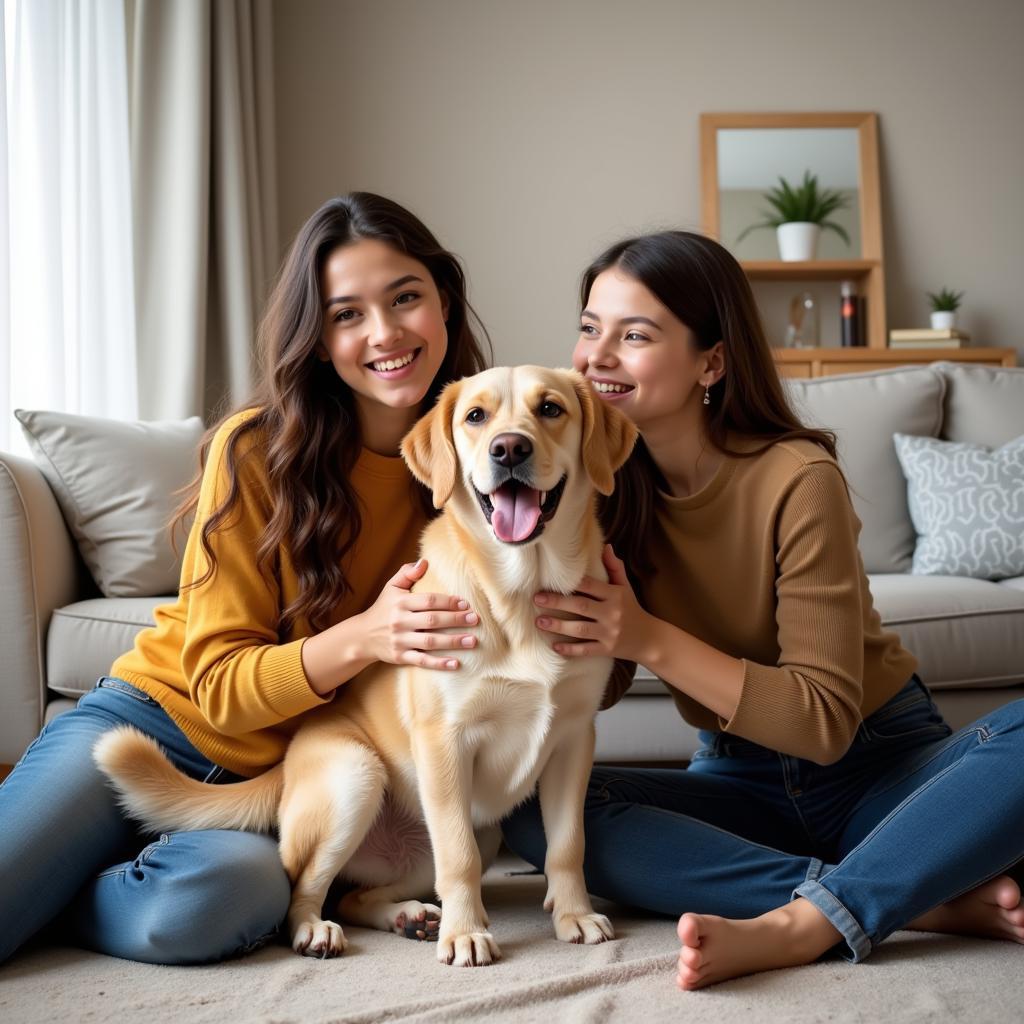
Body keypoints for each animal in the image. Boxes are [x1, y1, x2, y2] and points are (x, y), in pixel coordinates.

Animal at [92, 366, 634, 966]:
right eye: (476, 416)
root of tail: (289, 764)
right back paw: (318, 930)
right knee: (302, 890)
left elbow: (567, 845)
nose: (509, 448)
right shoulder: (444, 742)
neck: (520, 591)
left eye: (551, 409)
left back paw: (408, 916)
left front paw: (574, 916)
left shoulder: (573, 740)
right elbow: (458, 857)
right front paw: (466, 933)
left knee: (354, 895)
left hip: (464, 832)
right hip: (356, 775)